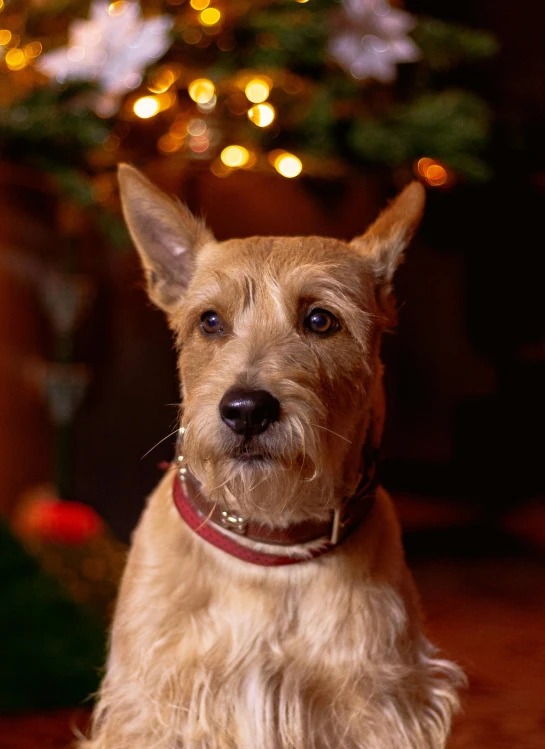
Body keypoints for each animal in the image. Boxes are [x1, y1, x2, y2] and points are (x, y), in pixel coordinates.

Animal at [81, 165, 464, 748]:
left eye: (321, 320)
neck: (268, 542)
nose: (246, 410)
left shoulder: (381, 704)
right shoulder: (150, 709)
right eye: (210, 321)